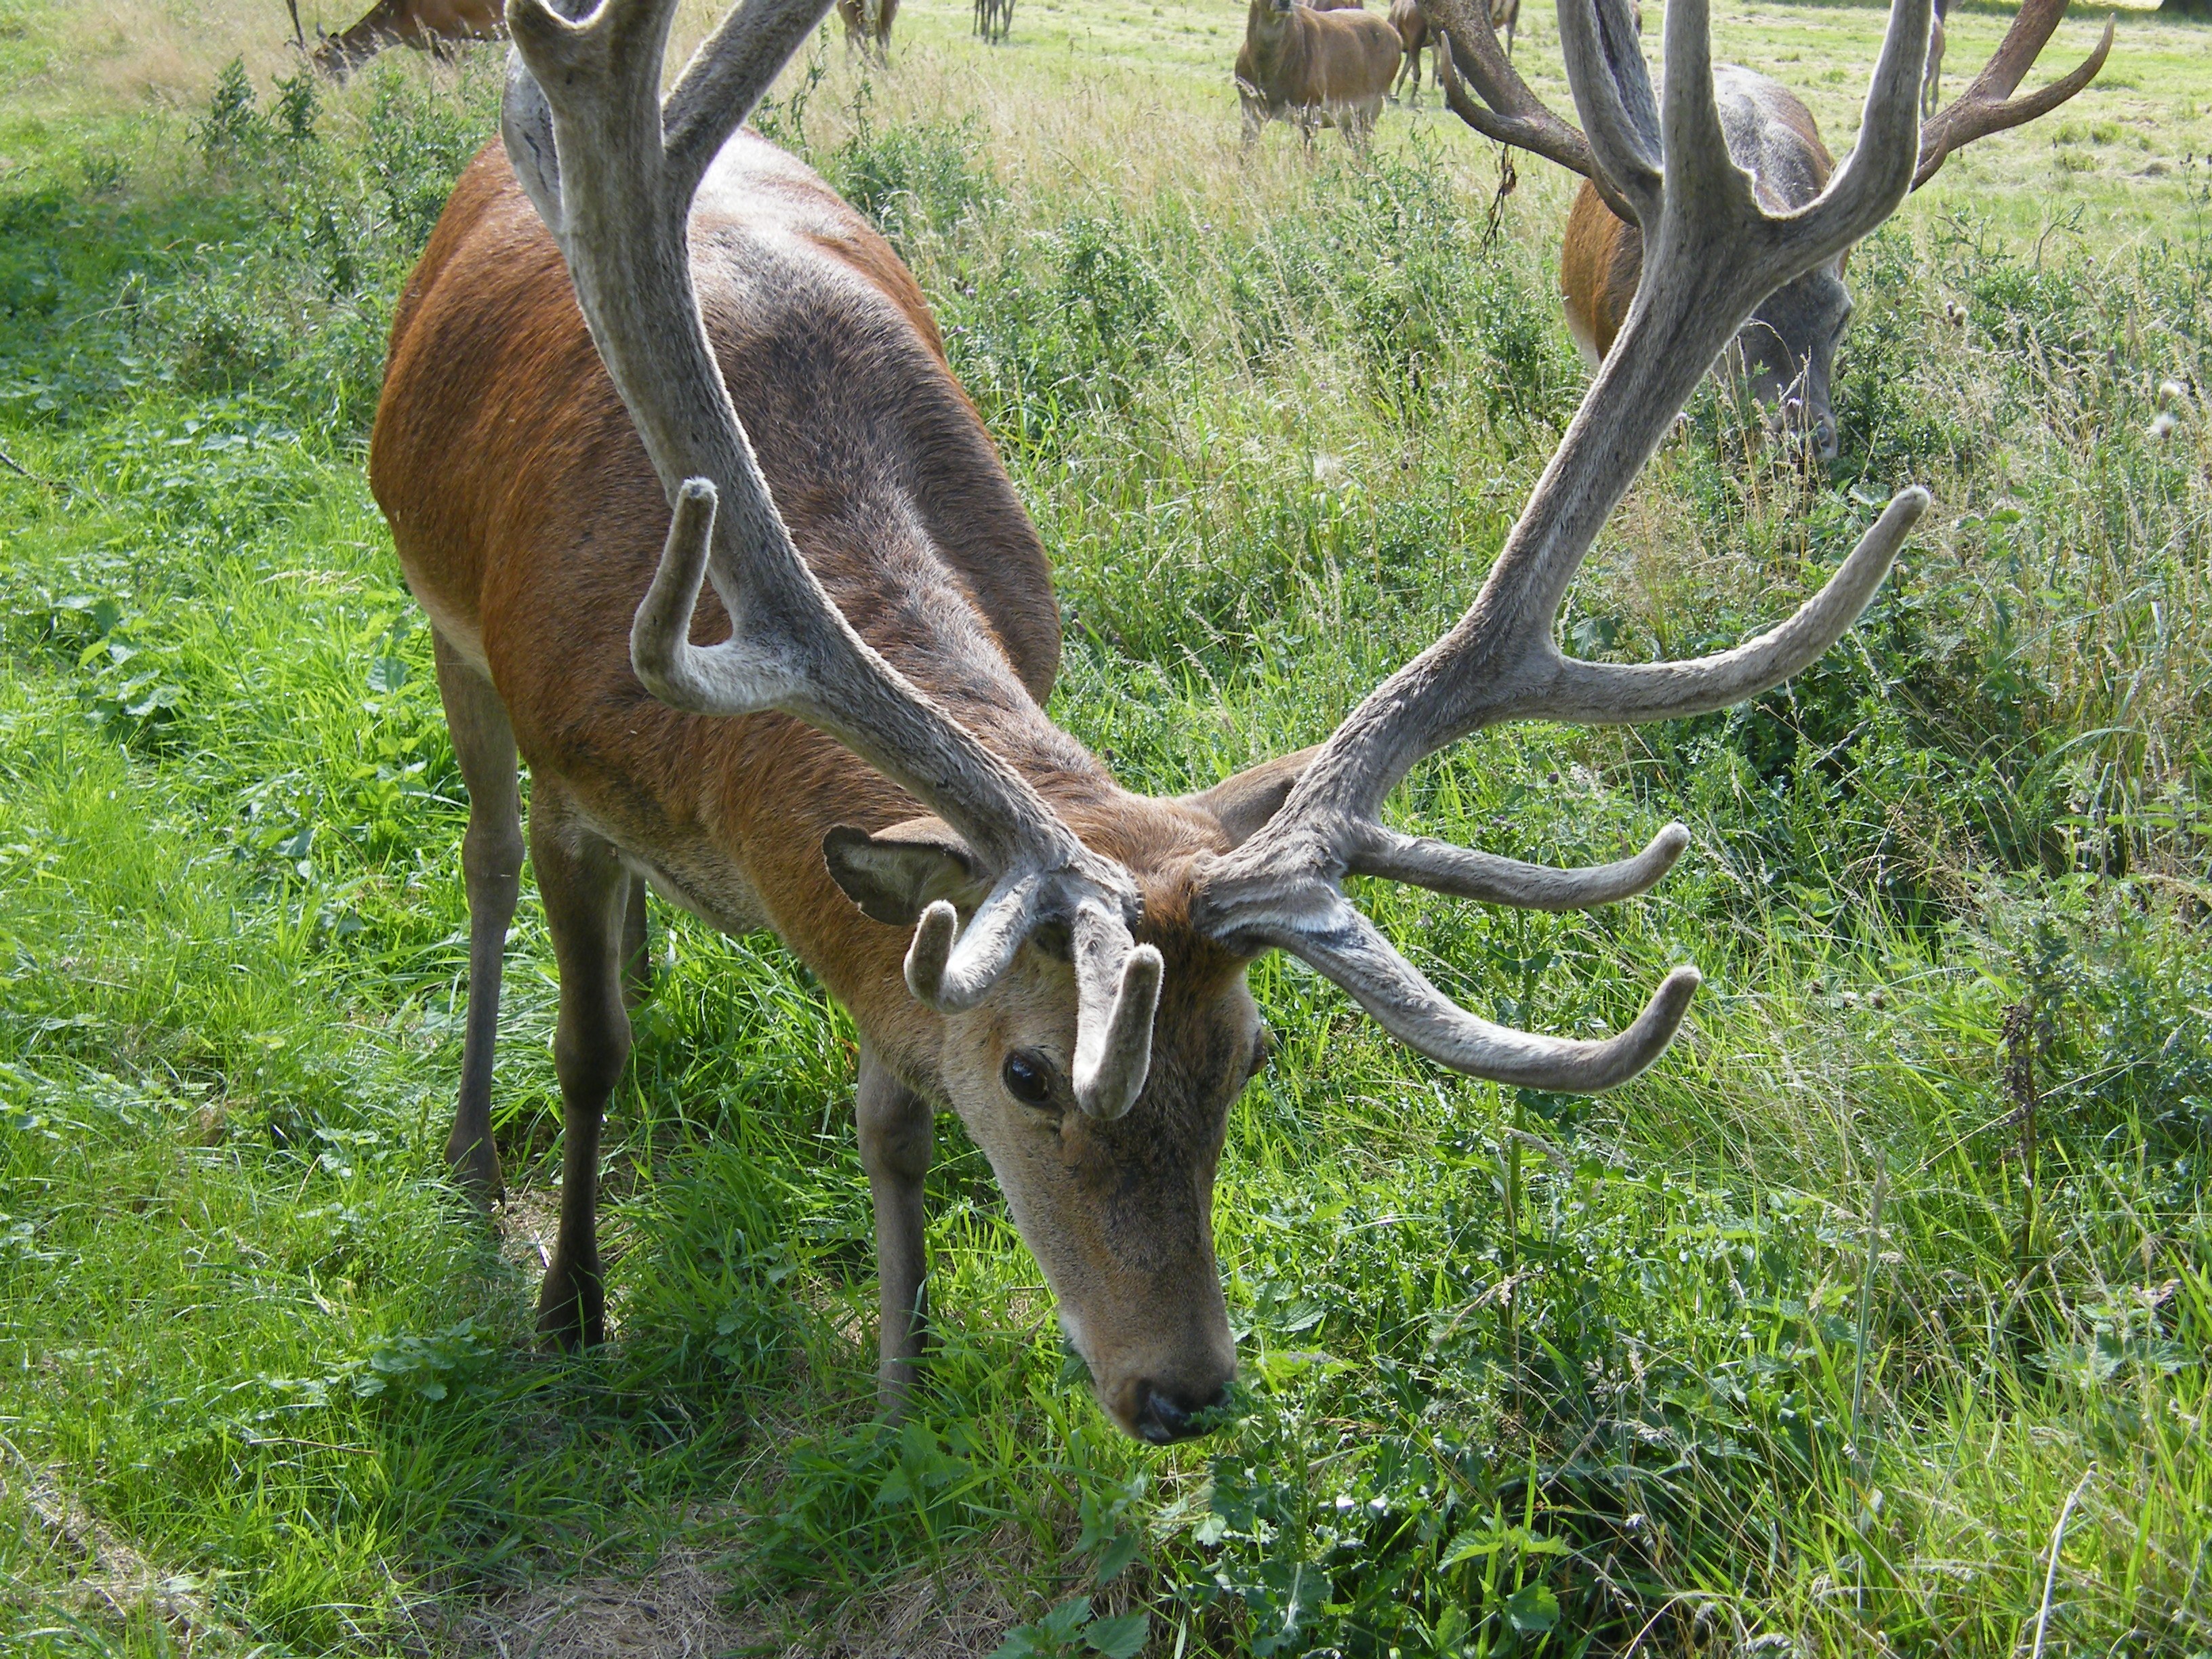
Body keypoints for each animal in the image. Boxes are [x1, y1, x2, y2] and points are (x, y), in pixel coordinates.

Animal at [1237, 0, 1406, 147]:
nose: (1285, 2)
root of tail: (1398, 38)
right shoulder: (1249, 104)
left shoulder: (1312, 106)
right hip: (1350, 121)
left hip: (1374, 106)